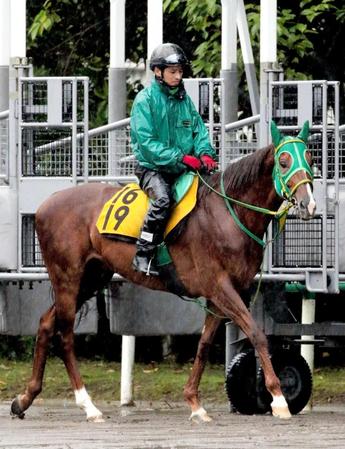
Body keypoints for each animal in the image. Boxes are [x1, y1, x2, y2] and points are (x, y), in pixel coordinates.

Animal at [10, 121, 314, 422]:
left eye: (310, 158)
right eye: (284, 161)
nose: (308, 203)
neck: (228, 215)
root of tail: (45, 204)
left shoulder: (221, 295)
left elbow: (204, 344)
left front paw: (194, 402)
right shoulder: (221, 287)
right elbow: (256, 333)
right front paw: (278, 398)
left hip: (91, 278)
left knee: (46, 323)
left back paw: (24, 399)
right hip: (68, 277)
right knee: (65, 336)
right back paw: (88, 405)